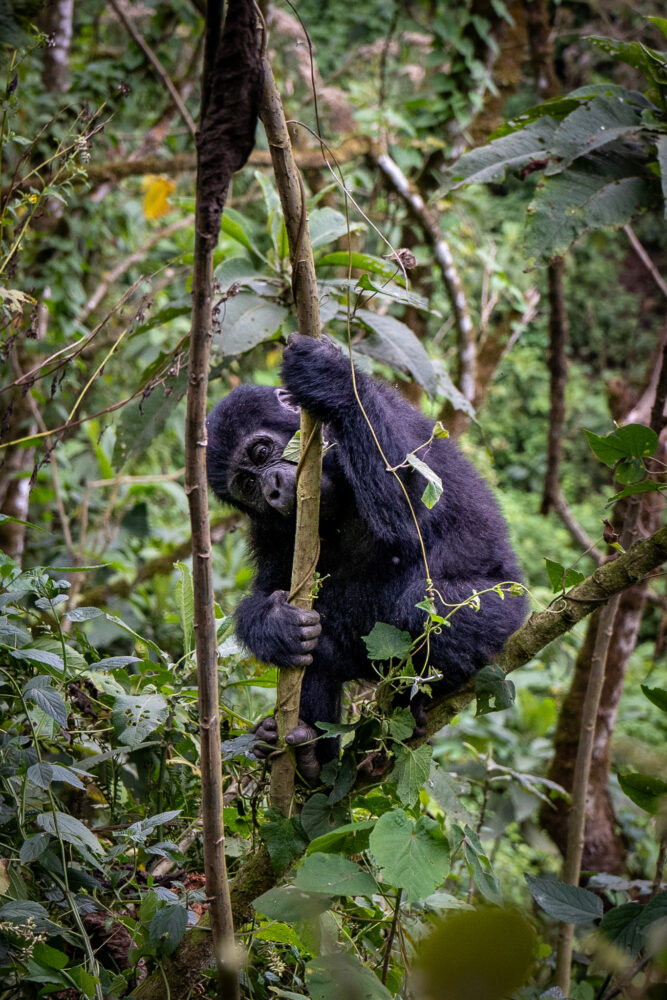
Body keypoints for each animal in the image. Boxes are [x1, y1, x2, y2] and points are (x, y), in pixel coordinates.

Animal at [207, 336, 528, 772]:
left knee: (420, 608)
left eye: (260, 453)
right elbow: (273, 588)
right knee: (319, 656)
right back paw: (308, 758)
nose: (270, 487)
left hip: (507, 614)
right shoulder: (266, 529)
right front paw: (273, 624)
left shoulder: (399, 424)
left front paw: (328, 379)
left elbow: (411, 511)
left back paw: (413, 706)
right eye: (247, 485)